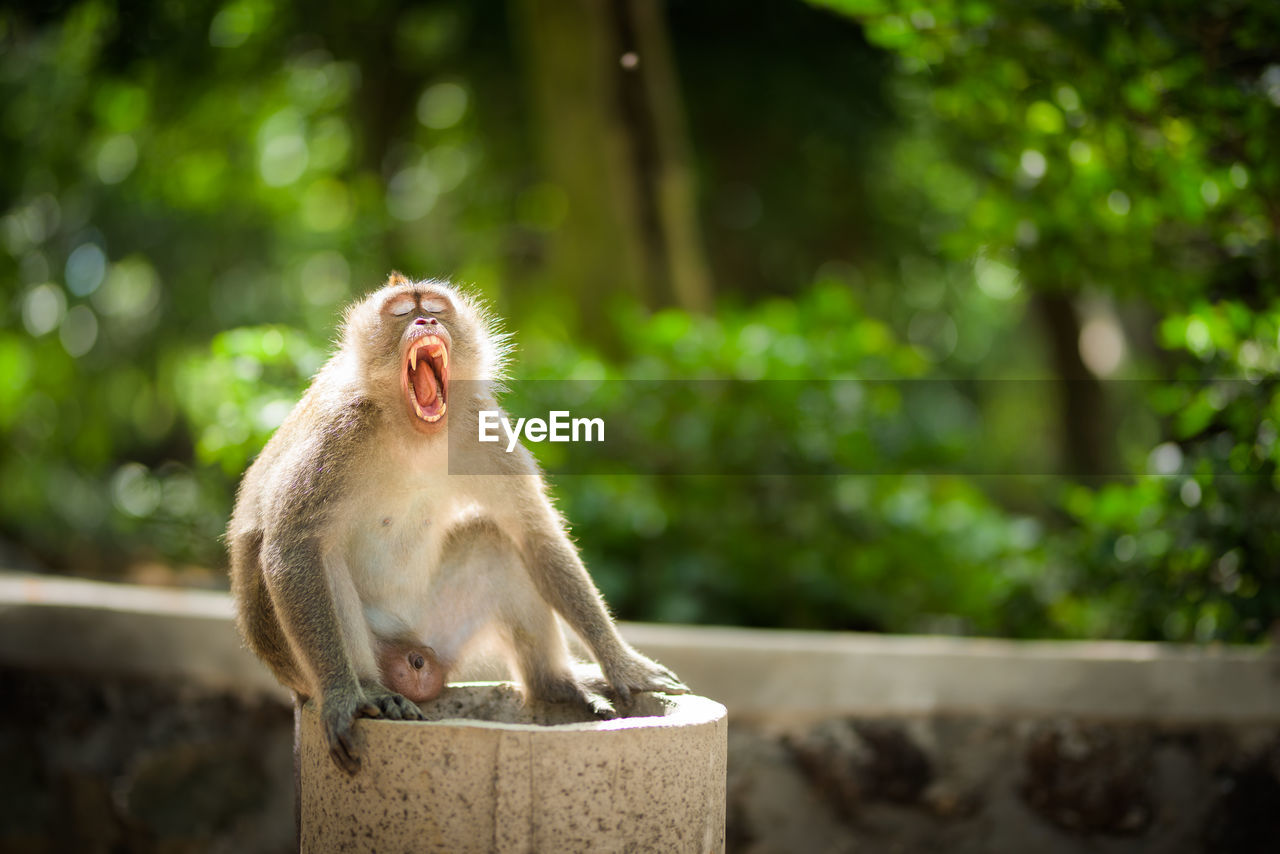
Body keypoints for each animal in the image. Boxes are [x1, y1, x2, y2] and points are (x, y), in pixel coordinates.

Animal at [230, 273, 691, 773]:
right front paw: (342, 696)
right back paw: (370, 690)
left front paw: (623, 664)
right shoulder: (339, 434)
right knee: (321, 558)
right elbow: (292, 545)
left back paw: (555, 684)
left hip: (438, 627)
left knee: (496, 542)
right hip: (313, 657)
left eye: (433, 307)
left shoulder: (481, 429)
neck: (413, 434)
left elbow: (533, 533)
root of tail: (412, 654)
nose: (425, 321)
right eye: (401, 312)